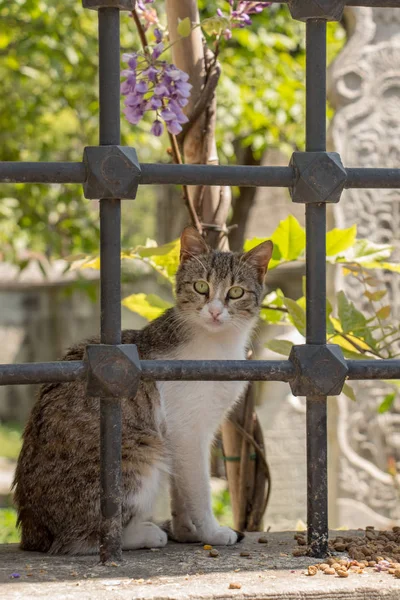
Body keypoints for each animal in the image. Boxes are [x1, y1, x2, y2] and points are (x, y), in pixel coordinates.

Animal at [14, 227, 274, 556]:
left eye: (236, 292)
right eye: (201, 286)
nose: (215, 312)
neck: (217, 346)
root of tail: (33, 531)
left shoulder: (182, 436)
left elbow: (181, 491)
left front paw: (186, 531)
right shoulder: (186, 432)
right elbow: (198, 490)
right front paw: (211, 532)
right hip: (141, 453)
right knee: (80, 539)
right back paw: (145, 534)